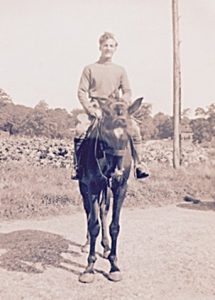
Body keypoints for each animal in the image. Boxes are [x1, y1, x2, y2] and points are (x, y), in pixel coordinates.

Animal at [77, 96, 143, 284]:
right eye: (106, 135)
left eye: (129, 134)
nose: (117, 173)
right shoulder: (91, 187)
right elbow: (93, 225)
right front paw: (89, 268)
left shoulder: (120, 189)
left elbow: (114, 226)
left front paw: (114, 265)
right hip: (84, 188)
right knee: (89, 213)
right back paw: (86, 245)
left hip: (106, 190)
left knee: (103, 211)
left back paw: (106, 247)